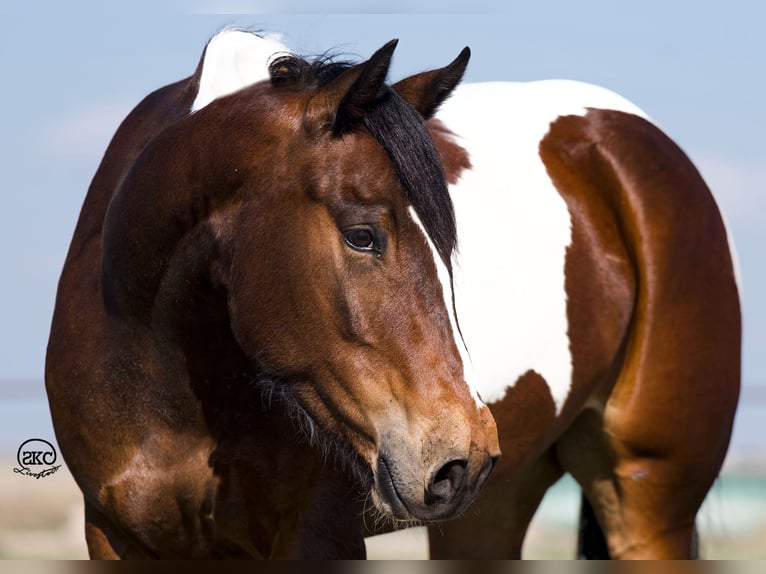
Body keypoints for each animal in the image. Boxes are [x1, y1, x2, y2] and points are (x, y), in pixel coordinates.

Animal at [45, 29, 740, 560]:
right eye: (363, 235)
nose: (462, 456)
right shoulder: (117, 537)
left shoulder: (318, 539)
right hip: (491, 508)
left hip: (647, 501)